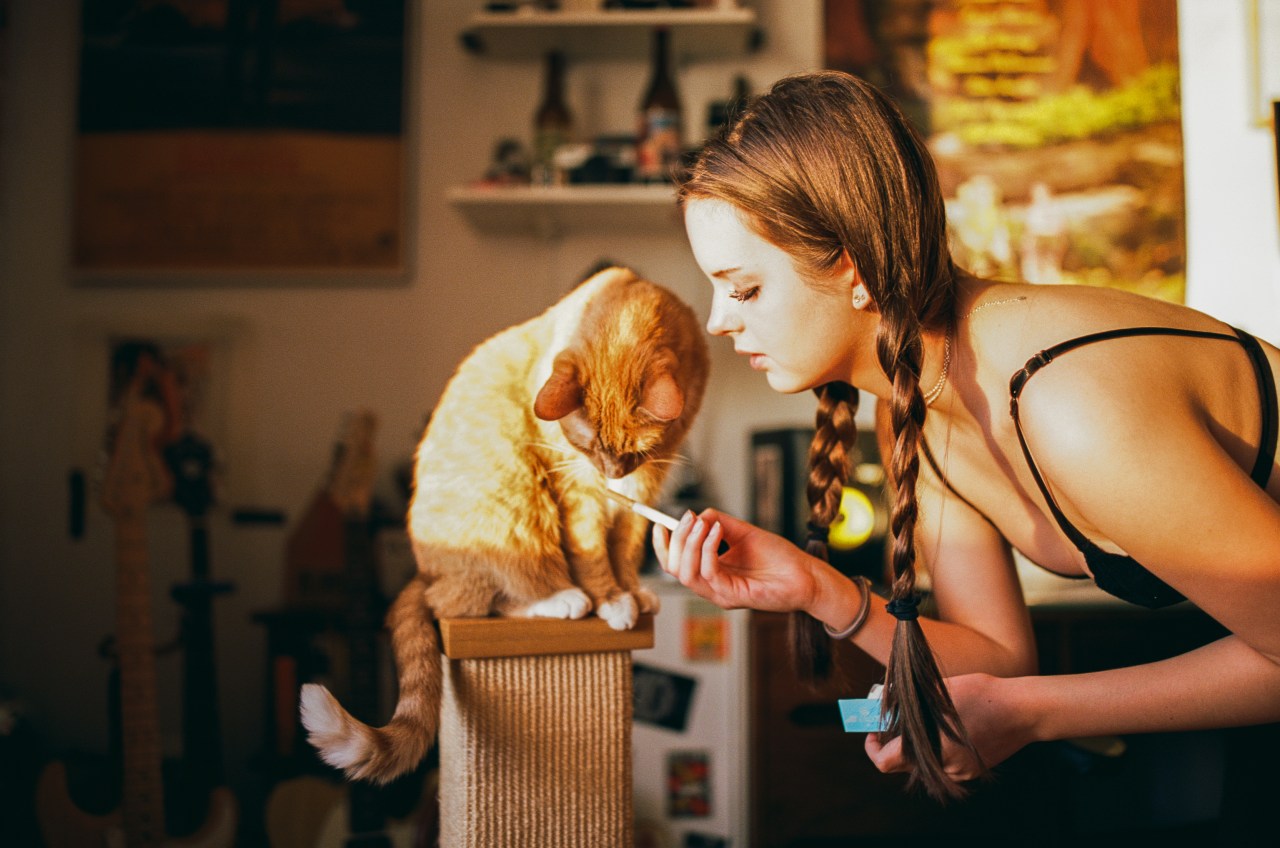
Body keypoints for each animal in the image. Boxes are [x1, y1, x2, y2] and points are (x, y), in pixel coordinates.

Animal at [305, 266, 716, 783]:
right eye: (587, 445)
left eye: (633, 452)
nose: (610, 472)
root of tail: (424, 574)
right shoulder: (579, 498)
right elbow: (594, 557)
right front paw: (612, 601)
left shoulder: (637, 496)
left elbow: (624, 550)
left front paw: (633, 592)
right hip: (517, 510)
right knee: (481, 601)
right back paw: (564, 599)